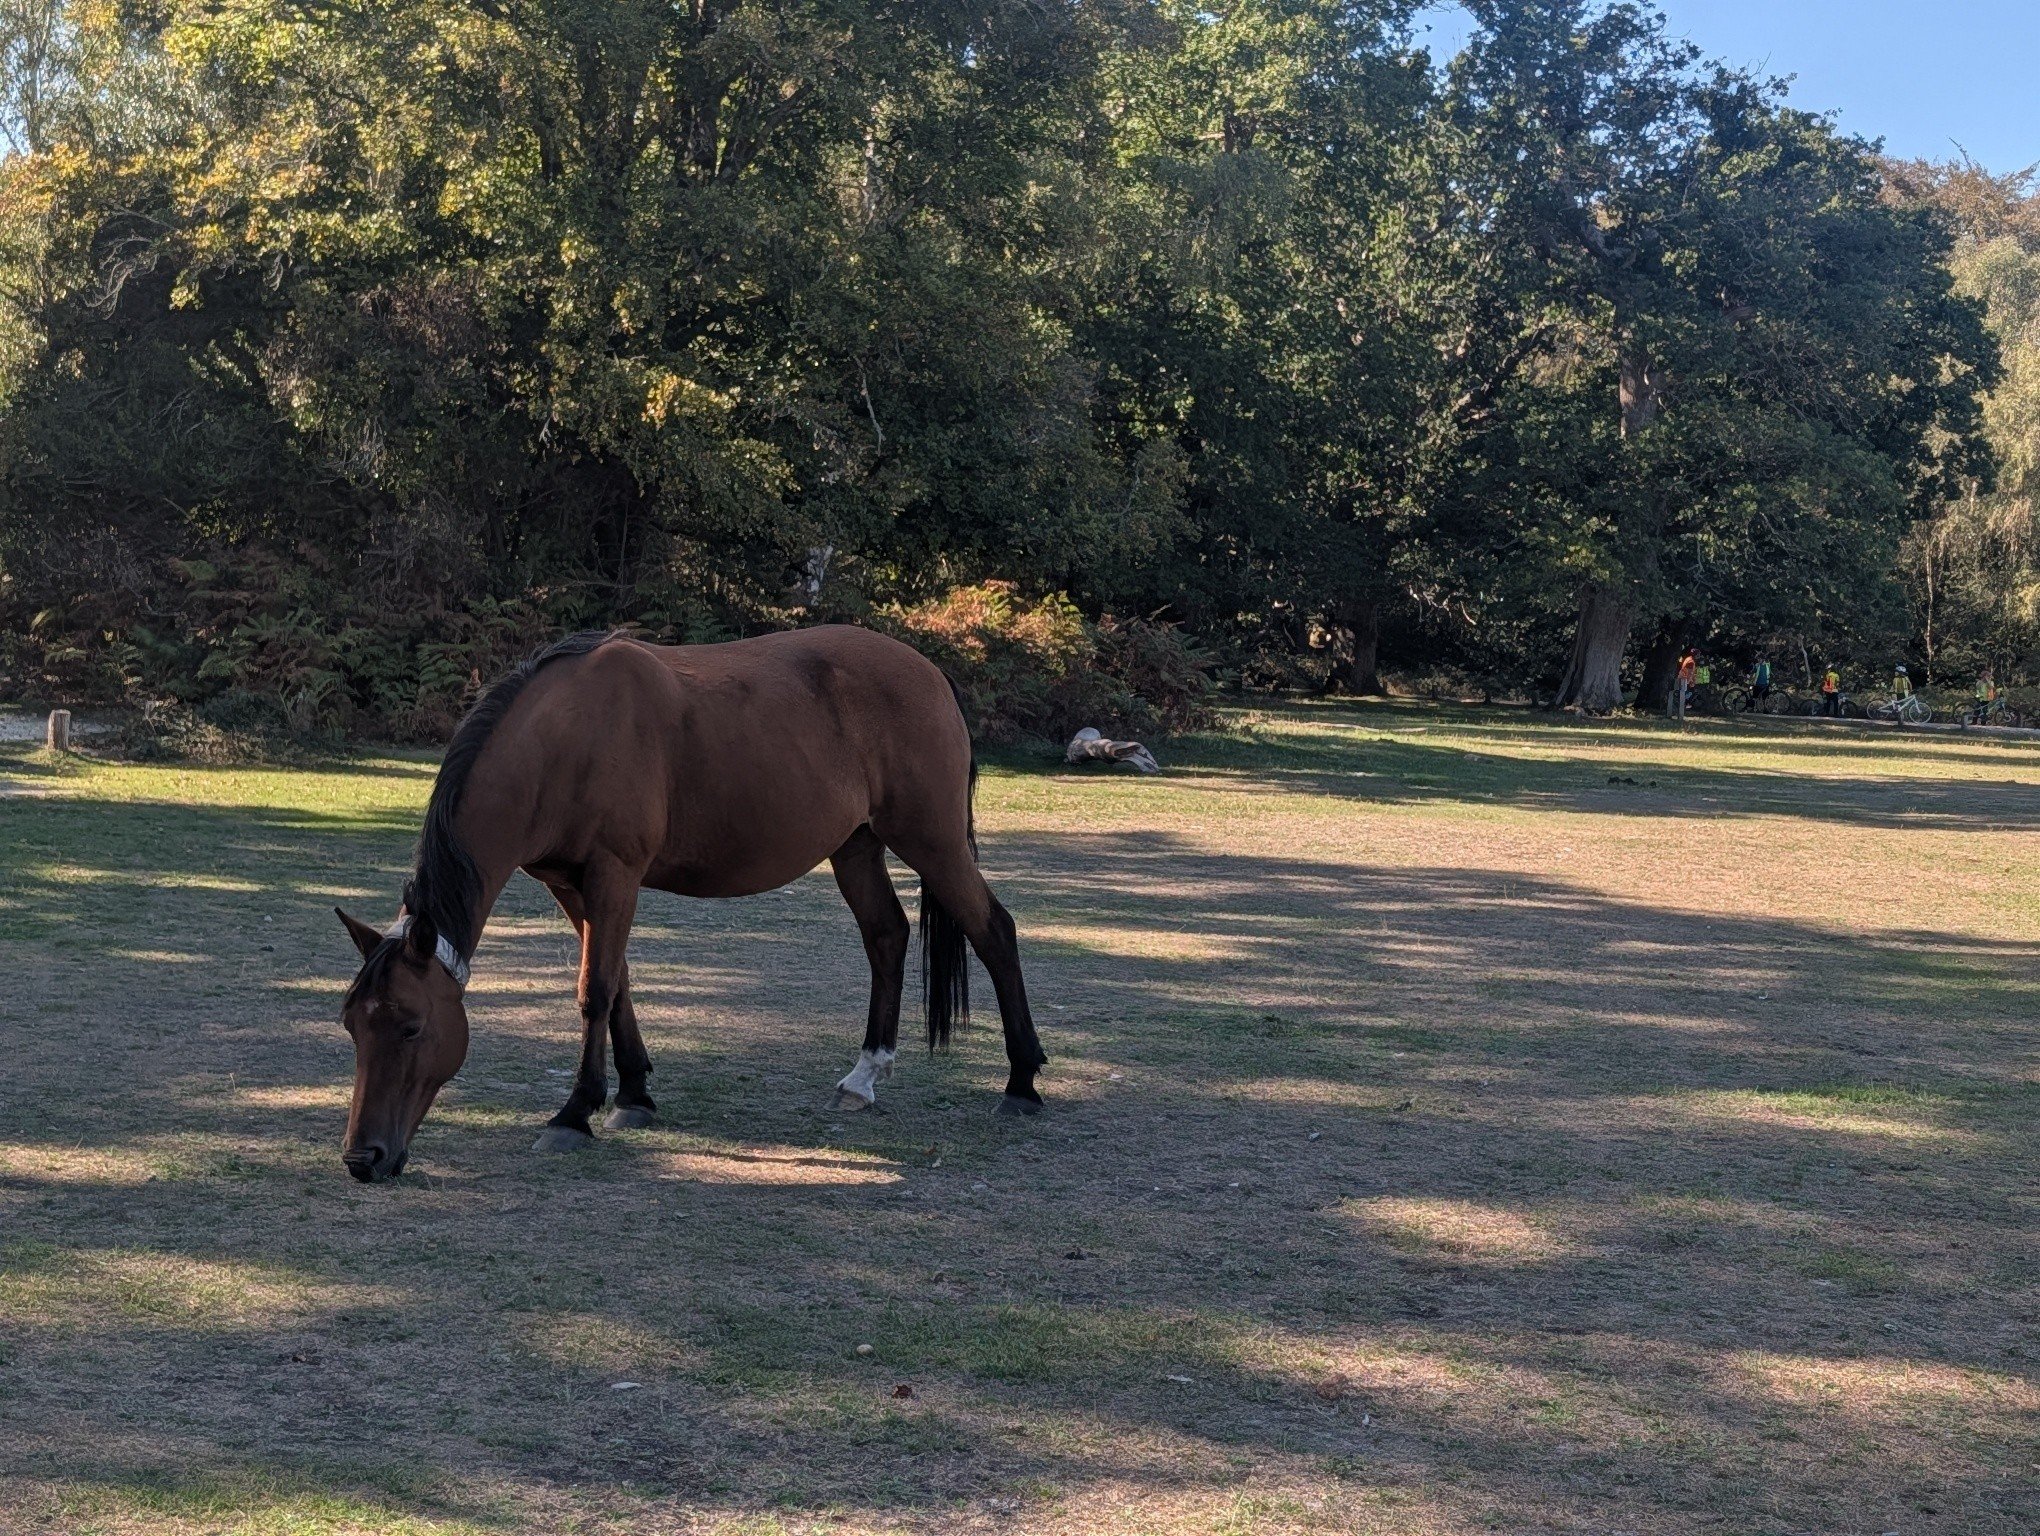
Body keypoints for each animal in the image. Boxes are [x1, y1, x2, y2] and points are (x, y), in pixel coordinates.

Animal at [334, 626, 1047, 1182]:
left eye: (411, 1026)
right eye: (352, 1027)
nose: (364, 1159)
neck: (564, 738)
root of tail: (929, 673)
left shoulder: (614, 874)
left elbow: (595, 988)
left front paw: (574, 1113)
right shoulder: (570, 884)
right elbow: (616, 981)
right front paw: (633, 1095)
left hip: (932, 842)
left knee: (994, 931)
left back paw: (1022, 1083)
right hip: (857, 848)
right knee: (887, 937)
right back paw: (864, 1077)